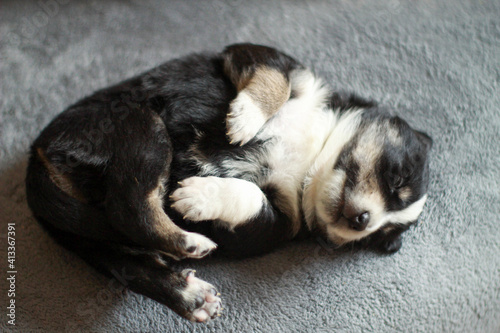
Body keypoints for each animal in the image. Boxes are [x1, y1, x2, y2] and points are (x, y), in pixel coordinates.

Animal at [25, 44, 432, 322]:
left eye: (378, 239)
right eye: (397, 178)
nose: (362, 222)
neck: (313, 152)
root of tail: (37, 156)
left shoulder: (278, 223)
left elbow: (251, 199)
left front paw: (199, 196)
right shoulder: (266, 58)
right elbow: (275, 79)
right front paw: (244, 119)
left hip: (95, 238)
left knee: (131, 248)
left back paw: (190, 286)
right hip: (140, 122)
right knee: (131, 205)